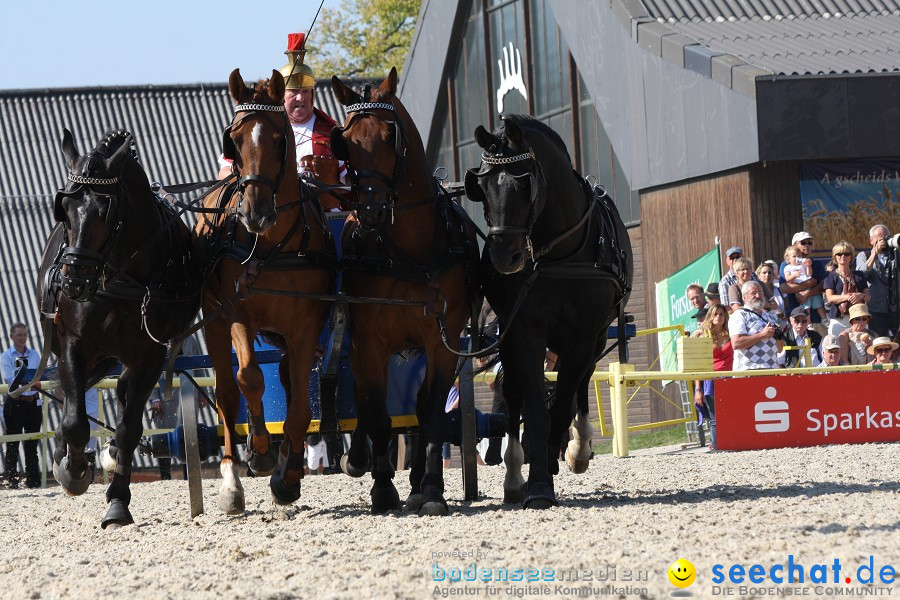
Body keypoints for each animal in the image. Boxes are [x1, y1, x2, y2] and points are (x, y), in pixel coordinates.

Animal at [197, 69, 334, 510]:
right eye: (235, 139)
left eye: (278, 139)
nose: (254, 212)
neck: (272, 245)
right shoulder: (237, 311)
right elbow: (250, 378)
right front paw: (260, 450)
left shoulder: (306, 323)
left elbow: (300, 407)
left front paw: (287, 476)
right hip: (214, 323)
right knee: (227, 393)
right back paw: (231, 480)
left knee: (291, 383)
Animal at [330, 68, 482, 512]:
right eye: (345, 139)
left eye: (389, 135)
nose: (370, 210)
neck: (409, 250)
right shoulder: (368, 343)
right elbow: (378, 417)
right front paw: (383, 488)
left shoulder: (442, 341)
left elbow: (430, 413)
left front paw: (430, 489)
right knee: (366, 402)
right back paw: (361, 461)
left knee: (417, 411)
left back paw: (417, 483)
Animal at [464, 115, 632, 508]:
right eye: (482, 185)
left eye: (524, 182)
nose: (504, 258)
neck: (558, 253)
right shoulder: (525, 330)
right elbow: (537, 409)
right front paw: (538, 483)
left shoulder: (584, 334)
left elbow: (565, 397)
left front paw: (563, 454)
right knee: (512, 394)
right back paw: (514, 475)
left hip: (592, 337)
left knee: (579, 384)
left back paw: (577, 448)